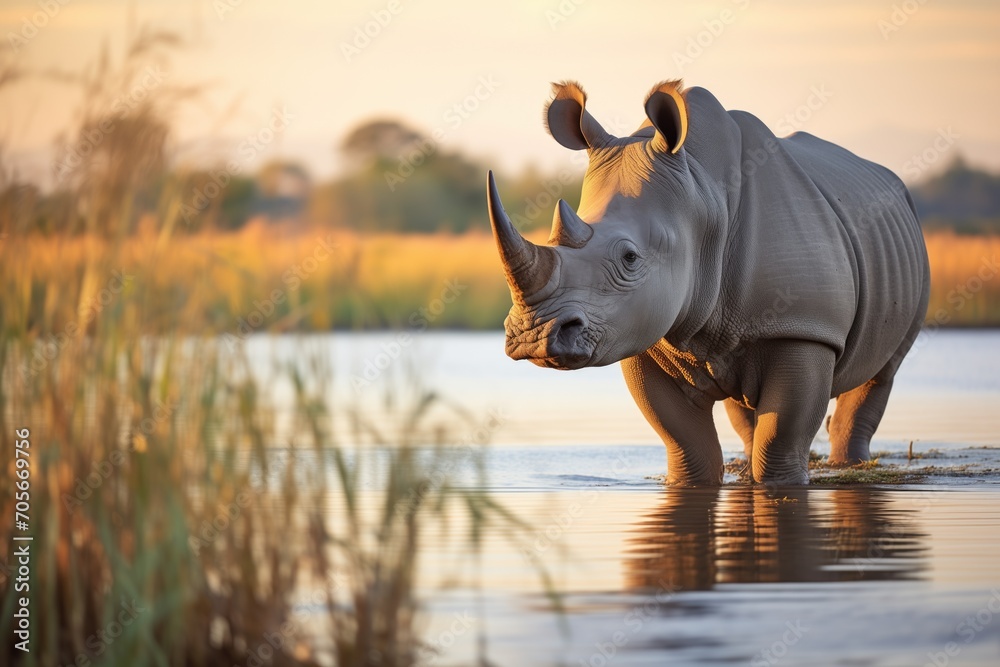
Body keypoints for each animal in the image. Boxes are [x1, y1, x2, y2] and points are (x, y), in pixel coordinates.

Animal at [487, 80, 930, 485]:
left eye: (630, 258)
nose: (533, 336)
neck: (703, 198)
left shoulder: (804, 327)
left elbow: (781, 441)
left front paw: (780, 484)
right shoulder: (642, 336)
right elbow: (686, 443)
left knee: (881, 374)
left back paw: (850, 466)